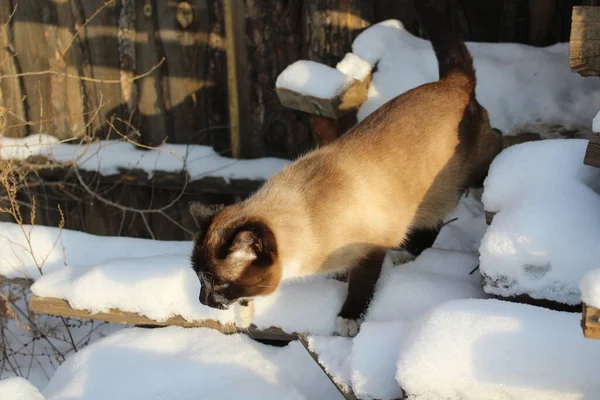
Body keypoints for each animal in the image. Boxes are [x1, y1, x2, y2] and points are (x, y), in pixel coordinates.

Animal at [189, 0, 502, 336]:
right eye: (199, 280)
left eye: (218, 284)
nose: (203, 300)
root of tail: (452, 82)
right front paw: (244, 315)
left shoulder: (370, 250)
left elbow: (361, 286)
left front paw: (349, 319)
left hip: (459, 174)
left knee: (495, 146)